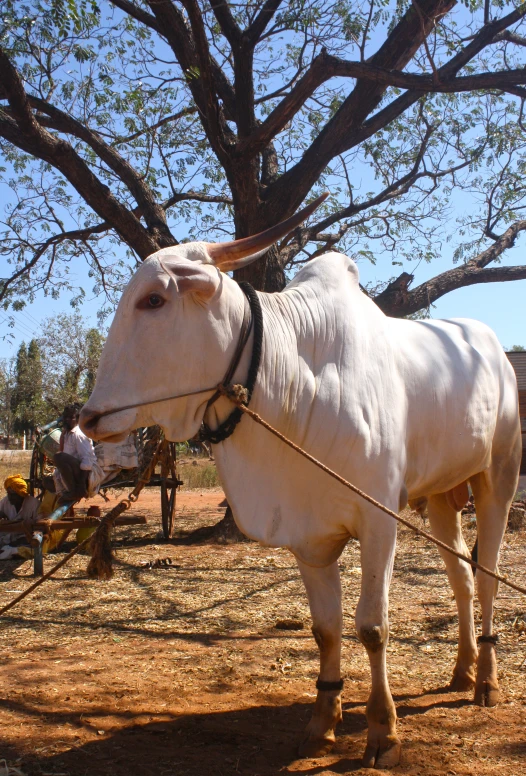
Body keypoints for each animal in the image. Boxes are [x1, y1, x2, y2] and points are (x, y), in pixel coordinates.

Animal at [80, 206, 520, 768]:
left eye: (154, 299)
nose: (89, 417)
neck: (296, 384)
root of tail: (494, 349)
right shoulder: (308, 539)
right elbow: (325, 629)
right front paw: (321, 722)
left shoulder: (379, 521)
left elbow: (372, 626)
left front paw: (383, 730)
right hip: (441, 498)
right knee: (461, 578)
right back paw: (462, 670)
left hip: (497, 479)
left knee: (486, 578)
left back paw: (486, 681)